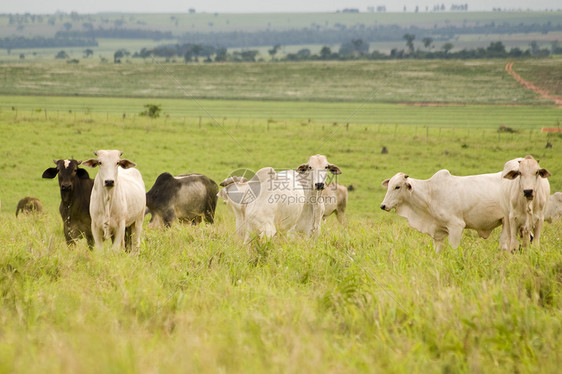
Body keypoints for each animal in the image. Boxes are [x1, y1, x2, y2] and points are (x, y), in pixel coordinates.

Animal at [378, 170, 506, 254]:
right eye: (389, 186)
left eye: (397, 186)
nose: (383, 206)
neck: (430, 194)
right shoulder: (437, 234)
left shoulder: (456, 226)